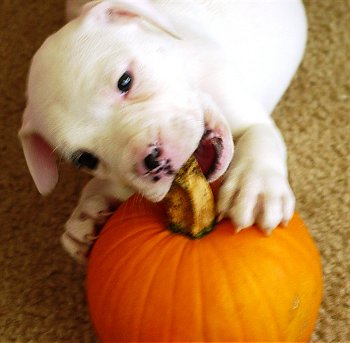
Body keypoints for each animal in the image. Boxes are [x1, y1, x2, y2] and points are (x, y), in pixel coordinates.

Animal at [20, 0, 308, 262]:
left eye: (125, 81)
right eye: (85, 159)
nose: (151, 161)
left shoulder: (249, 117)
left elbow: (259, 136)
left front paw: (256, 187)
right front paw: (86, 214)